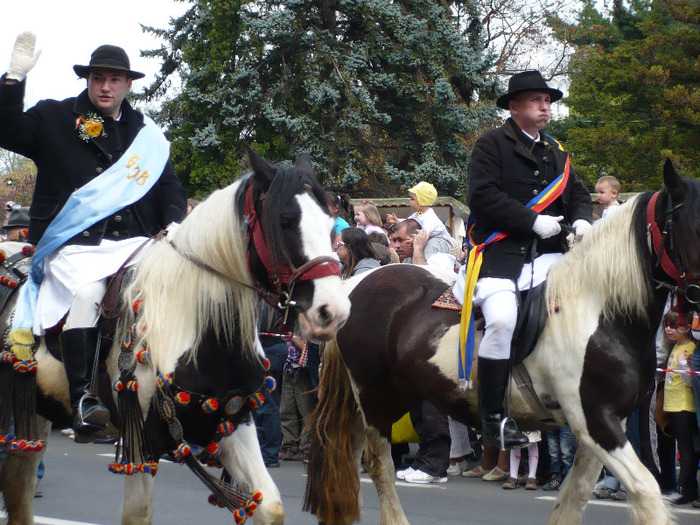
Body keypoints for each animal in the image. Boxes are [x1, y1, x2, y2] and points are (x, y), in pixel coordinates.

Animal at [0, 147, 350, 524]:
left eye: (331, 223)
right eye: (284, 221)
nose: (333, 311)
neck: (199, 329)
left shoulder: (235, 423)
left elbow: (270, 506)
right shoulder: (142, 443)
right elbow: (138, 513)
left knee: (19, 482)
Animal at [306, 160, 700, 524]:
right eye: (691, 226)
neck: (599, 308)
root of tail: (357, 284)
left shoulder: (601, 426)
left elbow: (576, 497)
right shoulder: (596, 421)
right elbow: (644, 492)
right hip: (374, 398)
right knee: (378, 465)